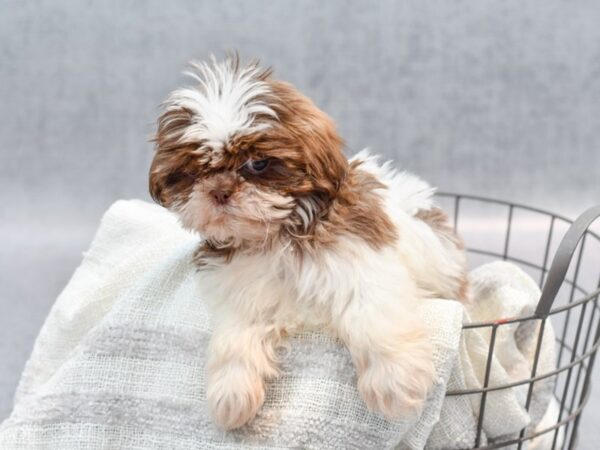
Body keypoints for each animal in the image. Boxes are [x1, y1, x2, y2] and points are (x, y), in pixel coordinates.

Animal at [148, 55, 466, 428]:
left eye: (257, 163)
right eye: (194, 170)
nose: (219, 191)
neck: (275, 236)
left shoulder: (360, 259)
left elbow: (372, 314)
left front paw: (395, 381)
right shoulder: (241, 291)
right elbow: (235, 336)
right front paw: (231, 392)